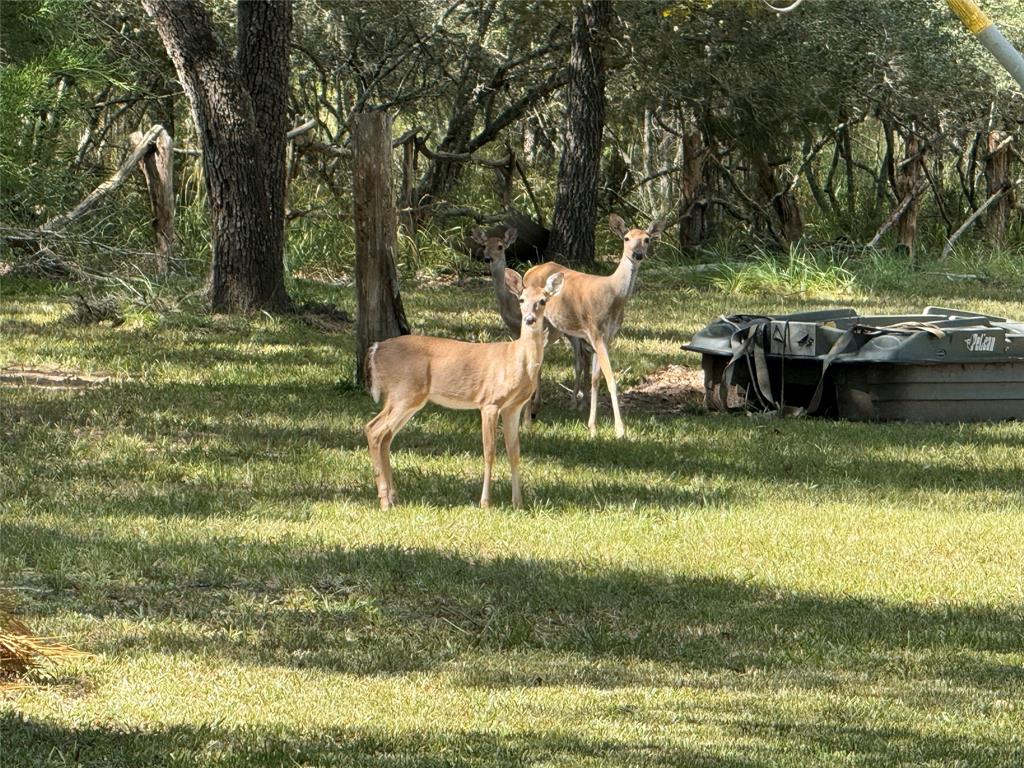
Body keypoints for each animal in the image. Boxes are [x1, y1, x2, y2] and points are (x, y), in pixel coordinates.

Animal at [364, 270, 565, 512]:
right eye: (521, 300)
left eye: (543, 301)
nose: (529, 320)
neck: (516, 359)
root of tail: (375, 349)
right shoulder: (490, 402)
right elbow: (489, 452)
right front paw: (485, 503)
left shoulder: (513, 407)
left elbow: (514, 452)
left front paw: (518, 503)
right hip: (403, 392)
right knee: (373, 429)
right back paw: (384, 500)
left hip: (409, 398)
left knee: (385, 436)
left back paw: (394, 497)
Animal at [471, 225, 593, 423]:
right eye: (484, 246)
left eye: (500, 246)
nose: (488, 258)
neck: (511, 305)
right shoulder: (515, 330)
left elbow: (538, 365)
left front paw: (535, 406)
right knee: (583, 355)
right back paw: (580, 401)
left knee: (583, 356)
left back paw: (579, 403)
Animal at [524, 214, 667, 442]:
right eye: (626, 238)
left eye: (647, 239)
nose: (637, 254)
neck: (613, 295)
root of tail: (531, 269)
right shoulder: (595, 331)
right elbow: (610, 379)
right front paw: (620, 430)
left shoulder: (607, 336)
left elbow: (595, 379)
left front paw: (592, 427)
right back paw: (528, 416)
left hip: (555, 327)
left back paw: (535, 408)